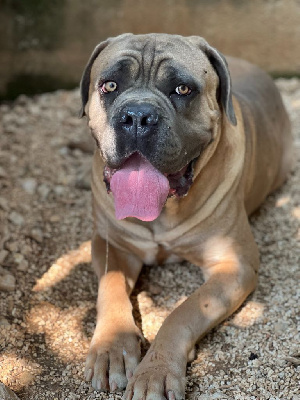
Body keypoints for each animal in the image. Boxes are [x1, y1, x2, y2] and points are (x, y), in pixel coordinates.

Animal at [79, 34, 292, 400]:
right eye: (110, 85)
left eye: (182, 89)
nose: (138, 116)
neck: (165, 211)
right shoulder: (111, 245)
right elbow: (111, 289)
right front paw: (111, 350)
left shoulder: (234, 265)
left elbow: (183, 312)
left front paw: (157, 371)